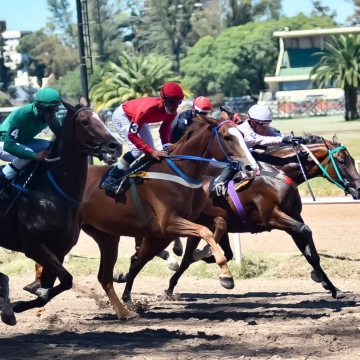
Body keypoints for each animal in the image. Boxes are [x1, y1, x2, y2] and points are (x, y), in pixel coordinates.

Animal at [0, 99, 122, 326]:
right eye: (84, 122)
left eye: (102, 117)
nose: (116, 146)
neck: (52, 194)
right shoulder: (36, 247)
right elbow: (66, 279)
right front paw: (14, 304)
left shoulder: (59, 251)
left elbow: (57, 286)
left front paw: (17, 305)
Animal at [164, 134, 360, 300]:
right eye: (341, 161)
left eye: (352, 160)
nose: (358, 188)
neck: (279, 172)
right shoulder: (272, 216)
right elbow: (306, 231)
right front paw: (318, 276)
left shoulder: (293, 218)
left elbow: (310, 252)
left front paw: (333, 288)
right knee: (188, 257)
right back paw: (173, 284)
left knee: (212, 253)